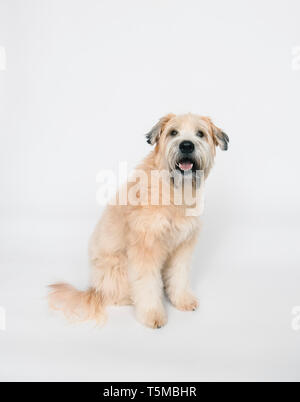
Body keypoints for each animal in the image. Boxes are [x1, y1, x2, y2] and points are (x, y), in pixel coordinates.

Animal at [48, 112, 229, 326]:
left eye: (200, 133)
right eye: (173, 132)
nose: (186, 145)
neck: (175, 191)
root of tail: (94, 289)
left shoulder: (182, 247)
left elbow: (179, 275)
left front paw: (182, 300)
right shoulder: (145, 248)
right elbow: (147, 284)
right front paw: (152, 314)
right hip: (119, 268)